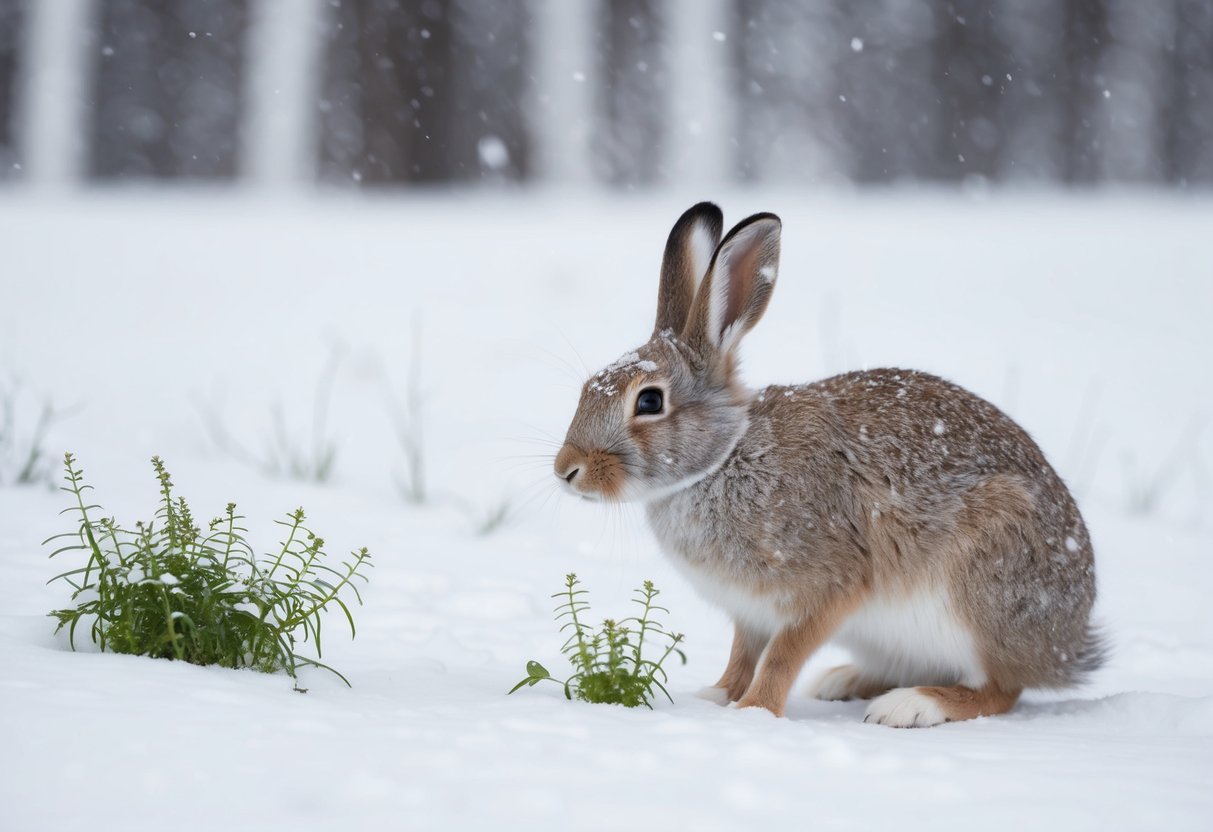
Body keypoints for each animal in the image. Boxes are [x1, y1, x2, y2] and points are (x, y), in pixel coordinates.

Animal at [553, 202, 1105, 727]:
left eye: (649, 401)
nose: (566, 470)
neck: (723, 459)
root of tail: (1066, 647)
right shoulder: (750, 613)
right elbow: (742, 655)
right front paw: (714, 698)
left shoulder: (826, 587)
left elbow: (783, 655)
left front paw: (755, 712)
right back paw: (845, 680)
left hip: (978, 594)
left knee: (1001, 690)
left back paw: (909, 706)